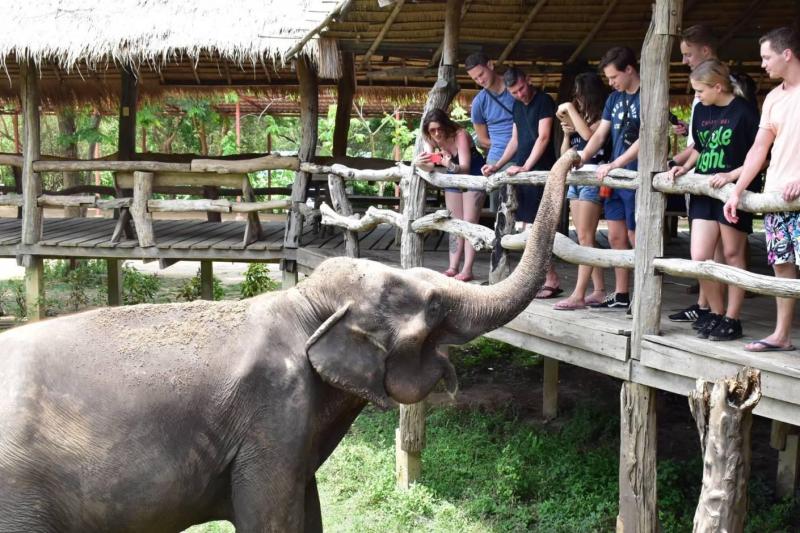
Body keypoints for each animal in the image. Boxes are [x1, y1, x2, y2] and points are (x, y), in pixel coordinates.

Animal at [0, 150, 579, 532]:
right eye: (434, 306)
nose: (573, 147)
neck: (303, 306)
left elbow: (309, 508)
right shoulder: (270, 419)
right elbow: (270, 519)